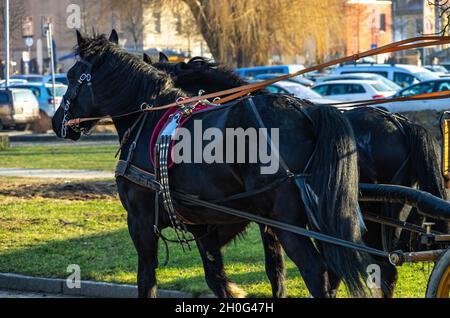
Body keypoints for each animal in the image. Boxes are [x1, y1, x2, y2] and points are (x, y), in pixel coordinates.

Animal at [52, 31, 370, 296]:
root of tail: (306, 110)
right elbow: (227, 277)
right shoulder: (208, 225)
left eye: (71, 75)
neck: (150, 117)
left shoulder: (141, 222)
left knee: (317, 270)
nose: (57, 122)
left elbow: (147, 278)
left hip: (288, 222)